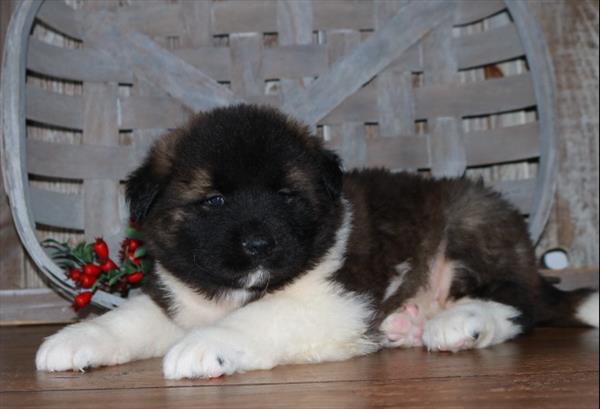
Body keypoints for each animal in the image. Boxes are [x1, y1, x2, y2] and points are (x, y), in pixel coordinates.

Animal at [36, 103, 600, 378]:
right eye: (213, 201)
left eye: (287, 196)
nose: (259, 246)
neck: (233, 292)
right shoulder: (178, 296)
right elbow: (131, 317)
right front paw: (76, 340)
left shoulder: (334, 301)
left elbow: (261, 319)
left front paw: (205, 347)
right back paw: (408, 323)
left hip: (474, 213)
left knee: (521, 301)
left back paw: (459, 323)